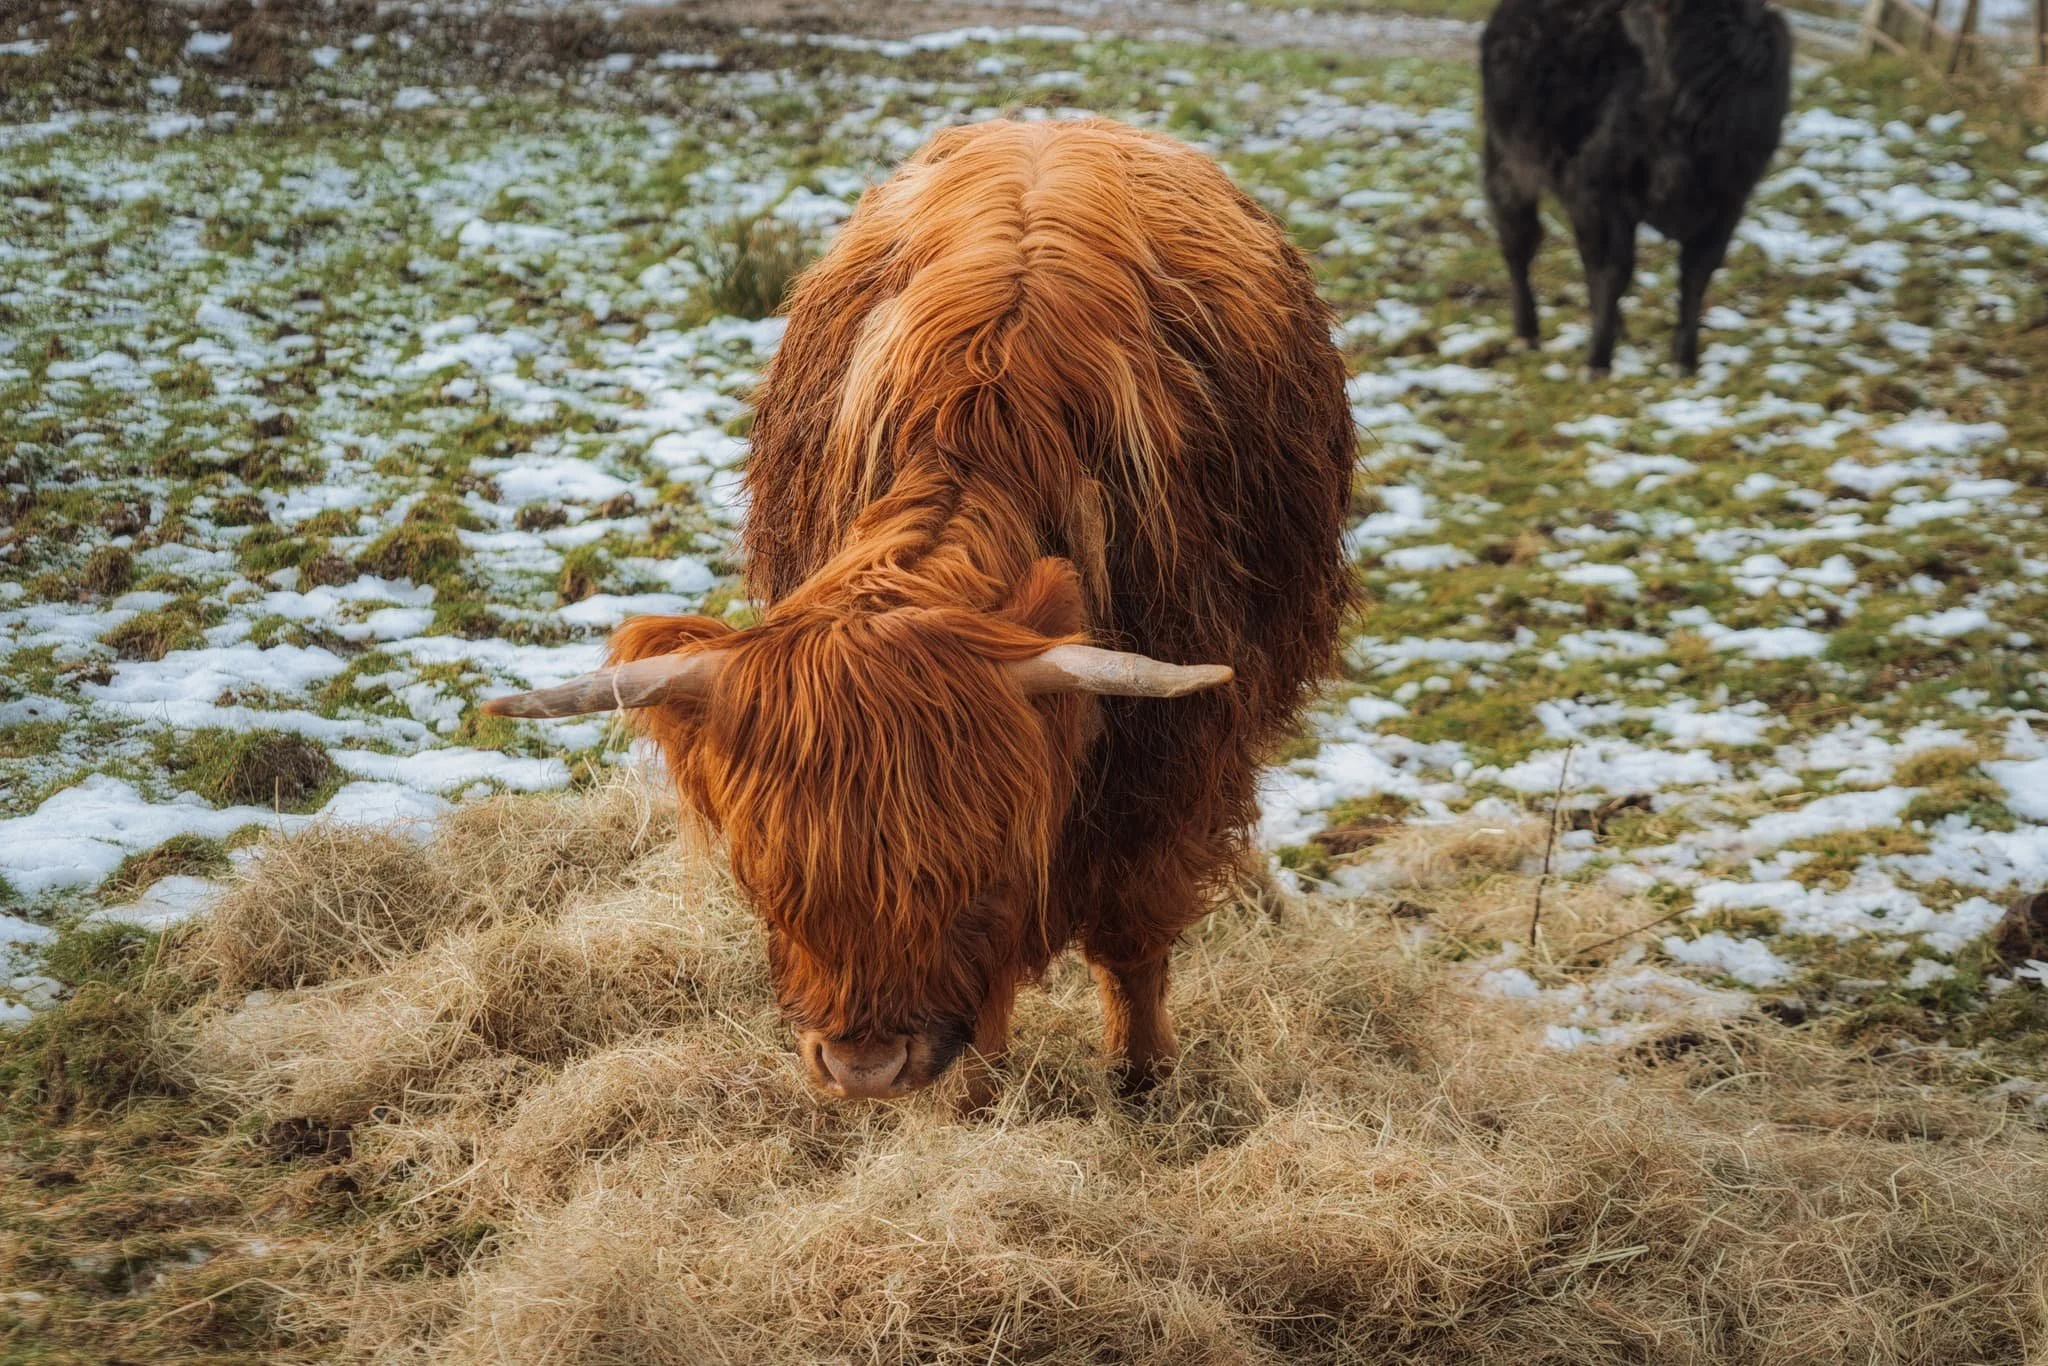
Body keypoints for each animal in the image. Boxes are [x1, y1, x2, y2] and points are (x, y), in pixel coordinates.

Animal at [485, 118, 1355, 1108]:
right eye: (766, 874)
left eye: (974, 863)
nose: (864, 1067)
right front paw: (972, 1098)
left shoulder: (1171, 766)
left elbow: (1132, 938)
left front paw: (1141, 1078)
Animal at [1479, 0, 1792, 375]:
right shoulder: (1601, 192)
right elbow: (1614, 271)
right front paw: (1598, 362)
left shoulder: (1728, 203)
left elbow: (1697, 275)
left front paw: (1685, 362)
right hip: (1508, 162)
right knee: (1518, 242)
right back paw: (1527, 333)